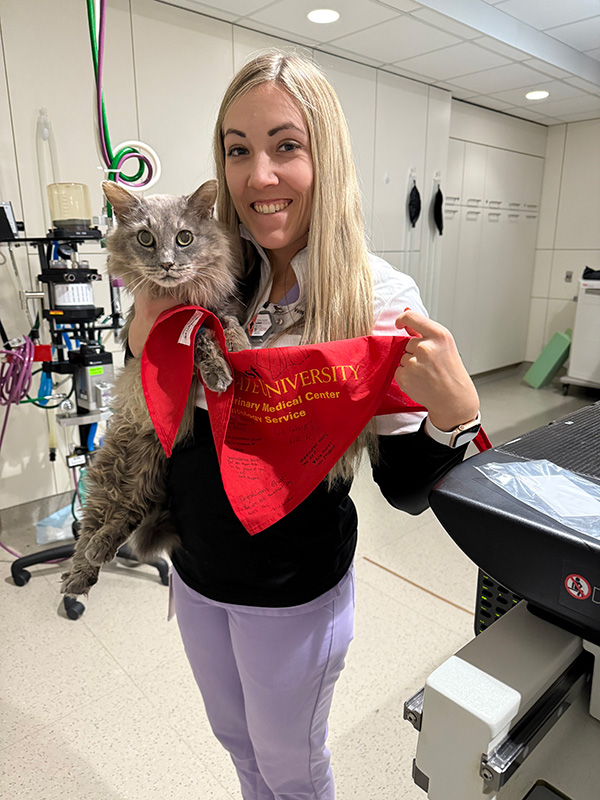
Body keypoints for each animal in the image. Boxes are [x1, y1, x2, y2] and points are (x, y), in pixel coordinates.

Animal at [61, 178, 248, 596]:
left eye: (184, 237)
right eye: (145, 238)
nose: (166, 263)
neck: (177, 296)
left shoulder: (219, 303)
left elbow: (224, 325)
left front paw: (238, 349)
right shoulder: (171, 328)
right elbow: (201, 339)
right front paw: (219, 370)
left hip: (149, 473)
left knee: (126, 515)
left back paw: (95, 558)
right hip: (111, 472)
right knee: (91, 529)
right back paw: (78, 575)